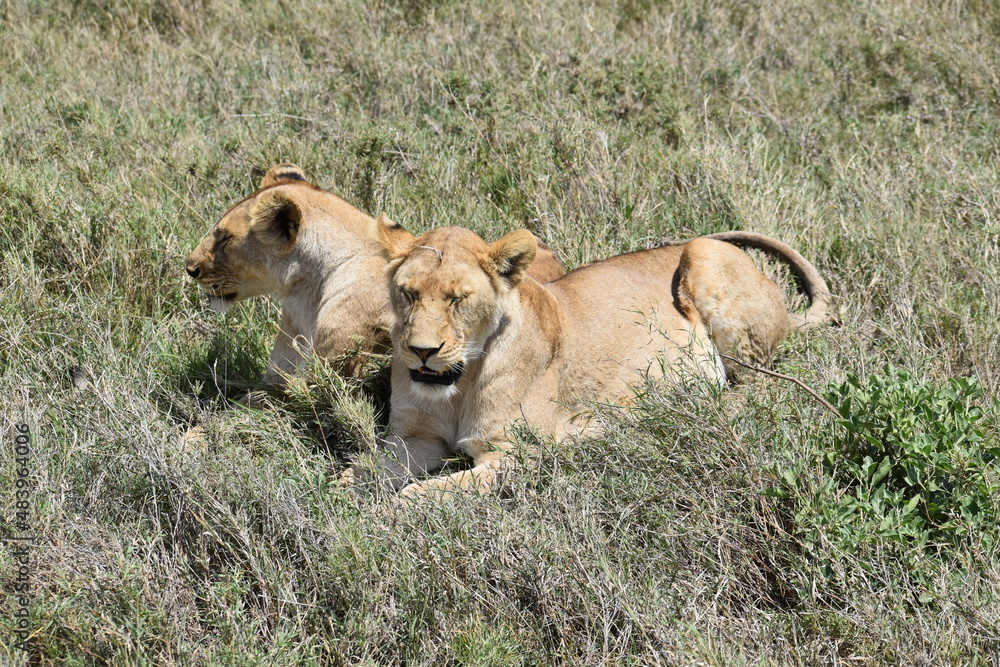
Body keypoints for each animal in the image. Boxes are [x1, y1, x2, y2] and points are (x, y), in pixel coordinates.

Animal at [354, 221, 831, 497]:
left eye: (458, 299)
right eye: (409, 293)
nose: (422, 351)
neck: (459, 384)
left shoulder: (514, 452)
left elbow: (424, 495)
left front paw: (384, 519)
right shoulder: (412, 438)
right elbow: (361, 469)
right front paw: (342, 504)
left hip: (703, 252)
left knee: (759, 386)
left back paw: (689, 410)